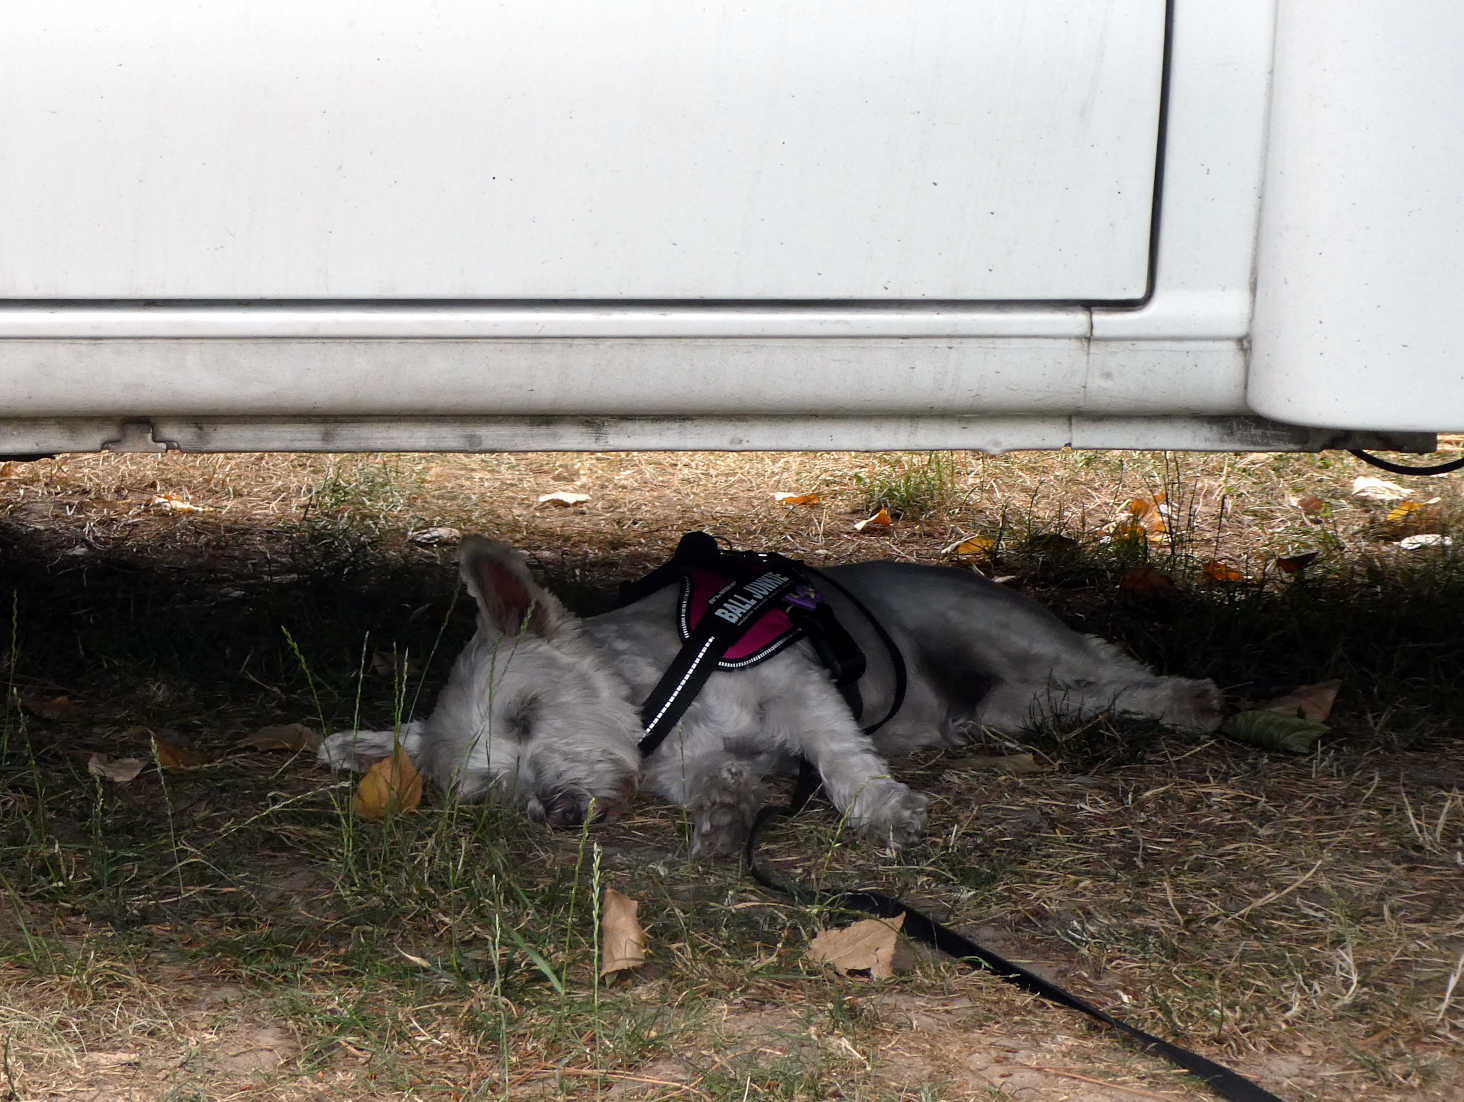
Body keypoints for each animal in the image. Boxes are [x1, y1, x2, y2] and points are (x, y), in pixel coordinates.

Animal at [323, 538, 1223, 854]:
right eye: (489, 793)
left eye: (528, 713)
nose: (559, 811)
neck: (665, 696)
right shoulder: (684, 761)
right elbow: (718, 779)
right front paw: (729, 814)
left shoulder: (800, 690)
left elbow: (841, 756)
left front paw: (882, 808)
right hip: (1017, 702)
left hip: (1010, 639)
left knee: (1111, 669)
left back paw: (1190, 699)